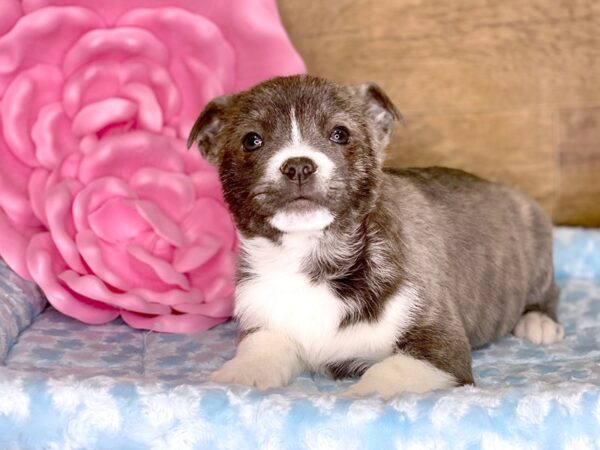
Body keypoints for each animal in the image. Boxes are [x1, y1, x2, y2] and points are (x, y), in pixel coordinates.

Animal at [186, 75, 564, 400]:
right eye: (252, 140)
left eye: (340, 134)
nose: (298, 165)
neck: (311, 256)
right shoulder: (268, 323)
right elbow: (260, 352)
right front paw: (238, 376)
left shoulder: (440, 347)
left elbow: (386, 374)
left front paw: (356, 397)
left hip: (536, 247)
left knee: (548, 292)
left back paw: (539, 321)